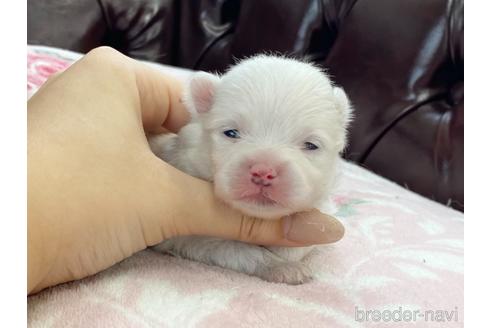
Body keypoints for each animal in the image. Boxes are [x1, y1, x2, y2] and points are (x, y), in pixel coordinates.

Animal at [149, 55, 350, 284]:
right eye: (231, 133)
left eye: (311, 145)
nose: (263, 171)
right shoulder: (191, 233)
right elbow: (239, 249)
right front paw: (284, 267)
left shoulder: (323, 210)